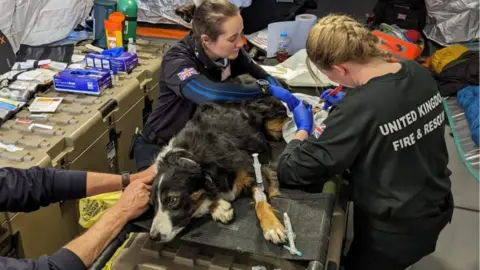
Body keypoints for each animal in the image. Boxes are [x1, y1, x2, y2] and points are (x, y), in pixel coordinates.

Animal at [148, 94, 290, 244]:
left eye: (172, 200)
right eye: (153, 204)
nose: (153, 237)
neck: (192, 158)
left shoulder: (254, 169)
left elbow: (261, 201)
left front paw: (272, 227)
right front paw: (219, 208)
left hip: (274, 128)